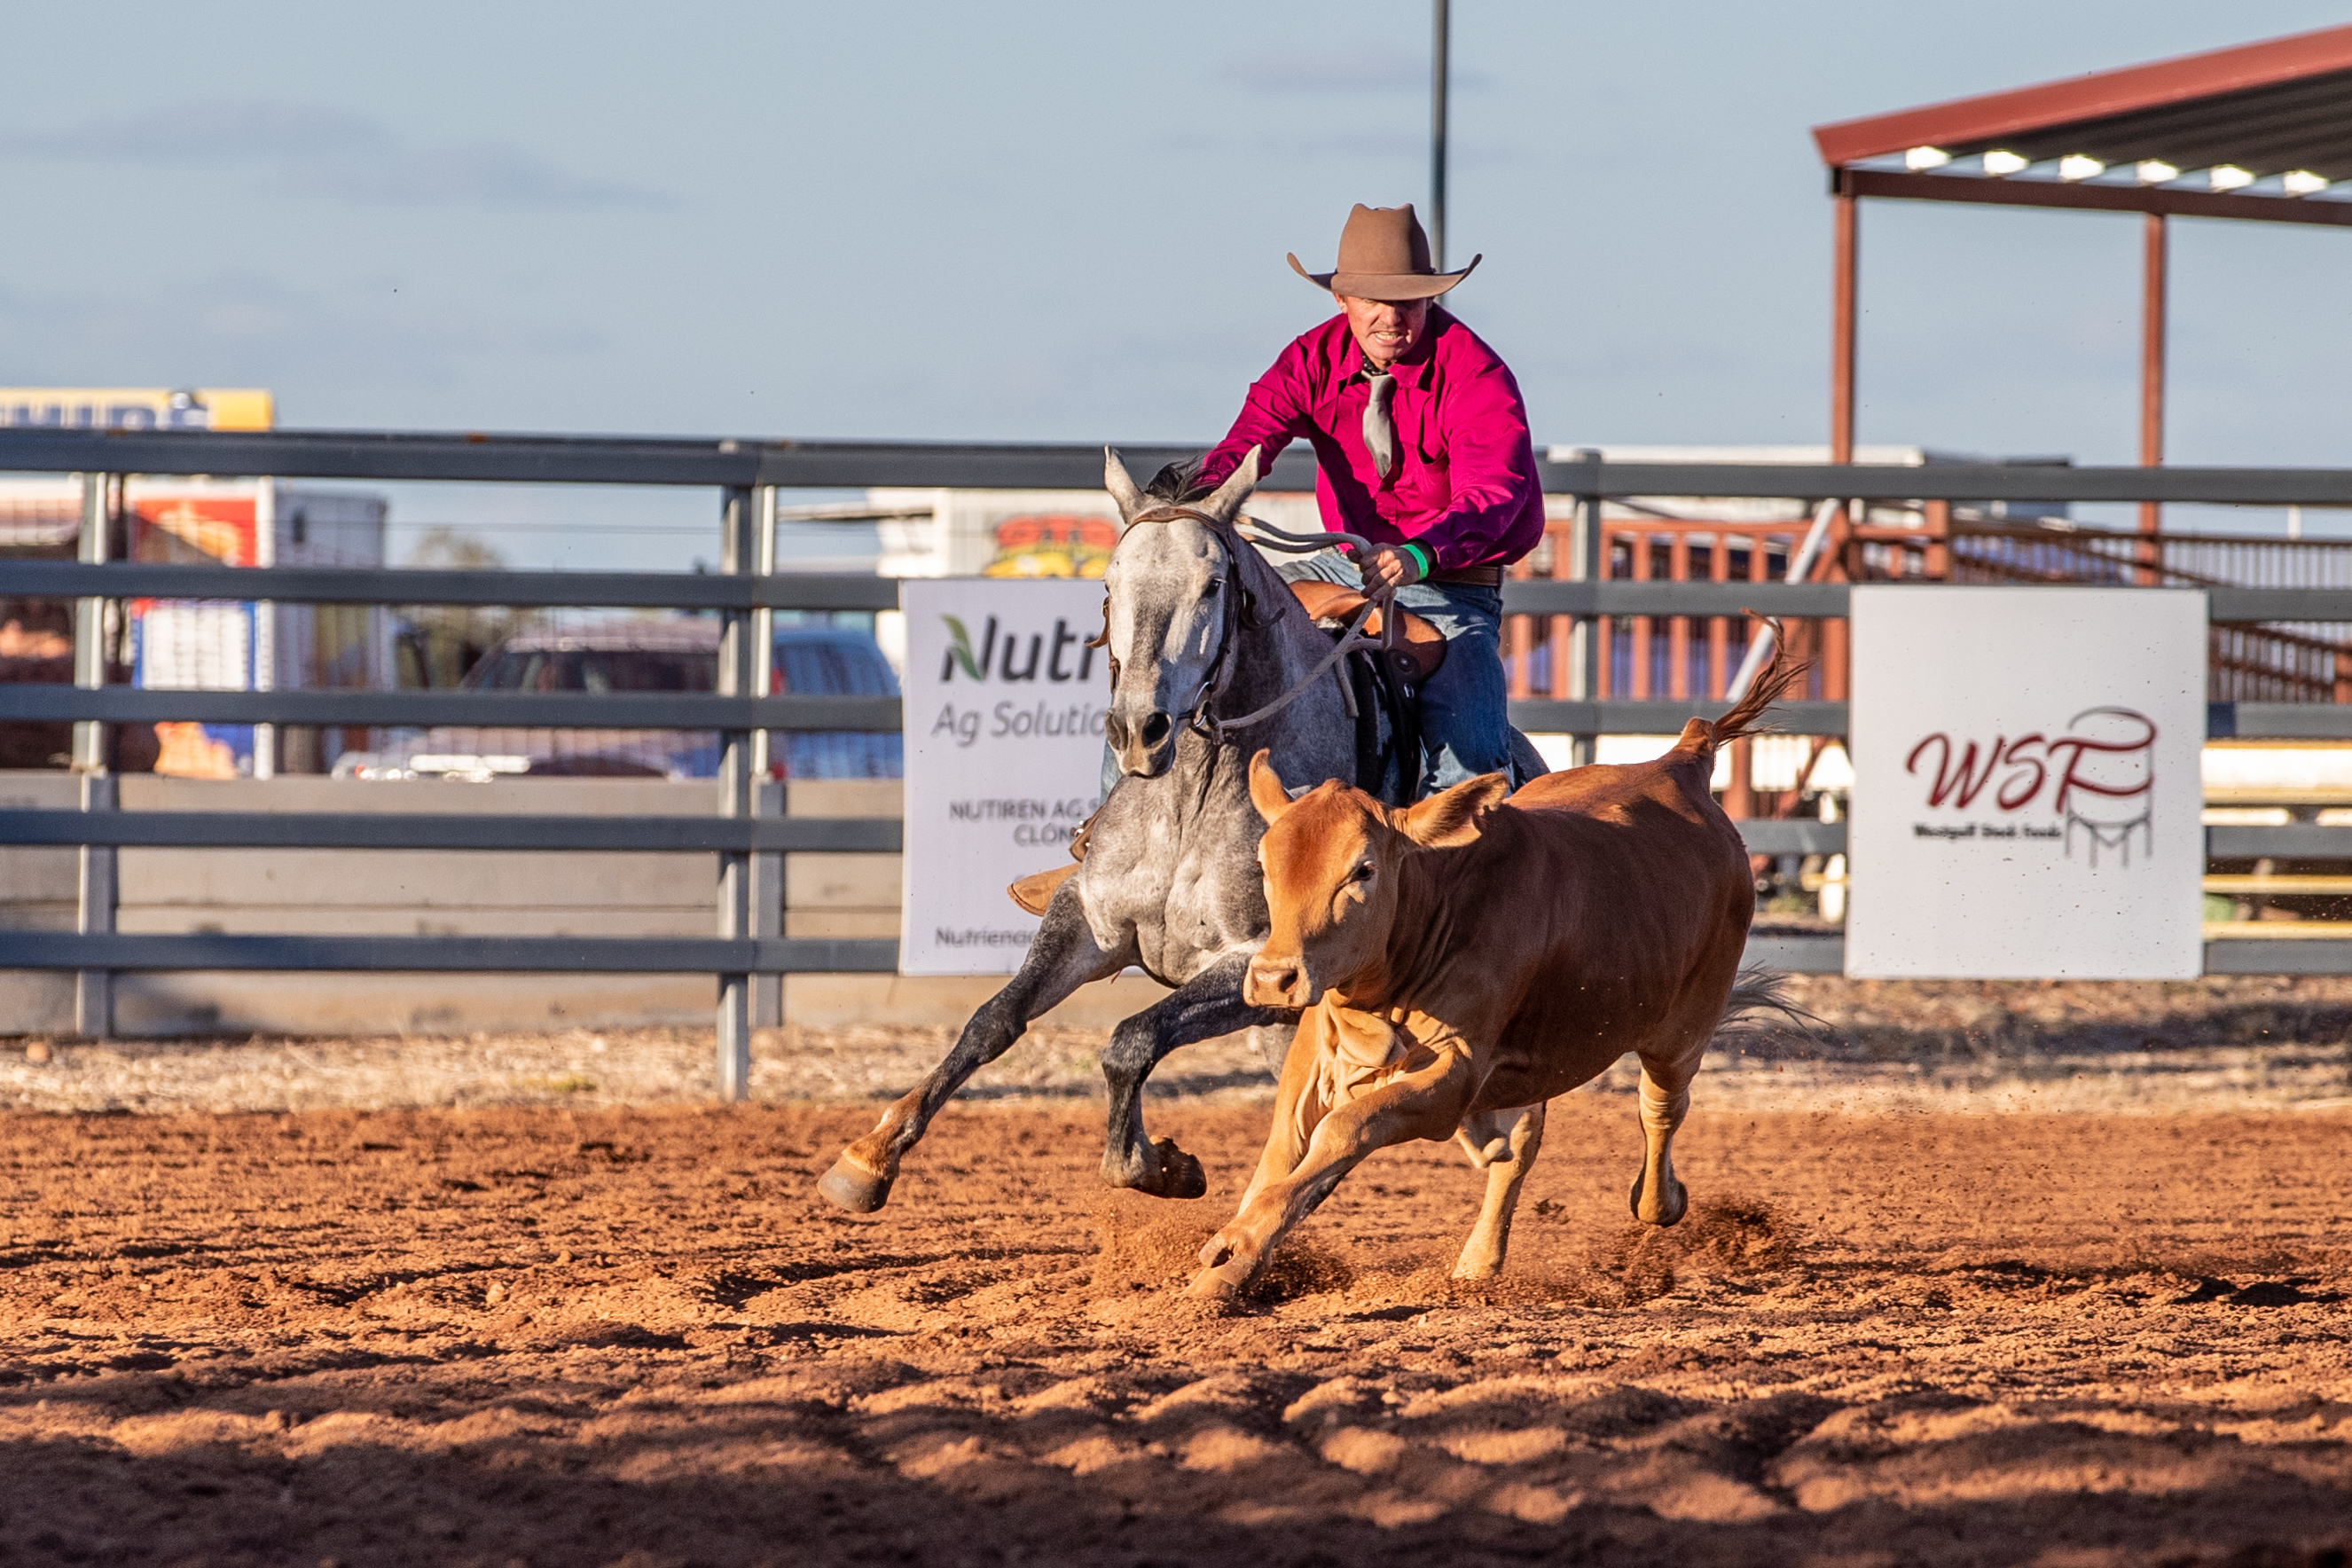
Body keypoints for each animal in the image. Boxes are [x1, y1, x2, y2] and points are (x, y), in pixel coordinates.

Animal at [1187, 644, 1804, 1301]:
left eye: (1363, 869)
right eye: (1264, 863)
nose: (1273, 978)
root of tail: (1682, 759)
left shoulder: (1451, 1076)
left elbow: (1345, 1129)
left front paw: (1236, 1245)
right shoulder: (1314, 1061)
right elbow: (1281, 1154)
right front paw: (1223, 1269)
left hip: (1683, 1029)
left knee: (1659, 1108)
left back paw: (1658, 1201)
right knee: (1516, 1148)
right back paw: (1480, 1261)